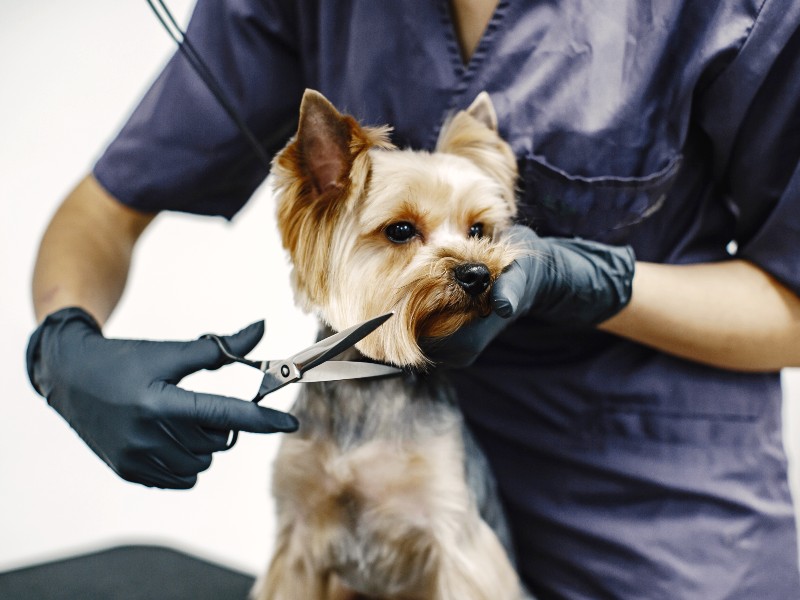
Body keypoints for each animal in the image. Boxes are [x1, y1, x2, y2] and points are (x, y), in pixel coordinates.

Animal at [256, 89, 528, 600]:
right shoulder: (298, 536)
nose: (477, 273)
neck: (368, 380)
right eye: (400, 230)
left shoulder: (454, 538)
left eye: (477, 230)